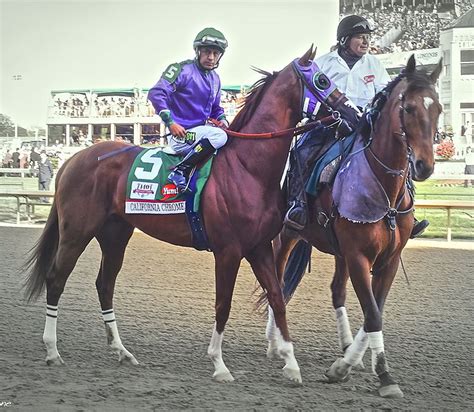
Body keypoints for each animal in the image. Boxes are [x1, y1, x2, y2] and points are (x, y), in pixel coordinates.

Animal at [23, 46, 352, 384]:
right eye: (324, 79)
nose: (352, 115)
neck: (248, 167)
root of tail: (73, 159)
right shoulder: (228, 250)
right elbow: (223, 305)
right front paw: (219, 364)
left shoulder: (258, 247)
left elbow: (277, 297)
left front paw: (290, 363)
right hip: (76, 231)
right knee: (56, 278)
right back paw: (52, 350)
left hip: (114, 234)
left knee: (105, 285)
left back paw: (122, 351)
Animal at [264, 54, 442, 396]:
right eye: (409, 108)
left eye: (437, 108)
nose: (424, 165)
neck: (385, 191)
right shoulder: (359, 256)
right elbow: (372, 315)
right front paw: (380, 375)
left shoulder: (387, 259)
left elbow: (375, 311)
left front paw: (349, 363)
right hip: (286, 235)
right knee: (277, 282)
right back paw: (275, 343)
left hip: (338, 252)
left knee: (336, 291)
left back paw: (344, 346)